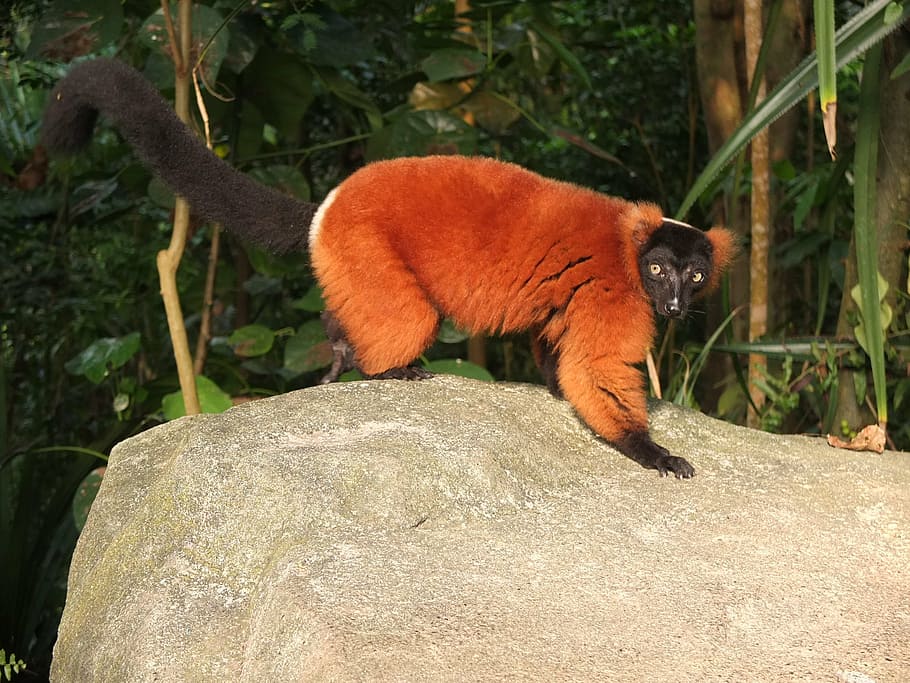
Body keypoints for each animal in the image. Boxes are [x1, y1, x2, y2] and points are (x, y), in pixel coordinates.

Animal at [40, 58, 735, 479]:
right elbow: (596, 371)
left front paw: (553, 384)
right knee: (404, 316)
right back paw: (385, 365)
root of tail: (327, 208)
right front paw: (649, 448)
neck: (628, 248)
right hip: (363, 248)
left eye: (696, 276)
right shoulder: (615, 291)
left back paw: (338, 348)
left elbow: (557, 349)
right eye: (659, 273)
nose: (676, 306)